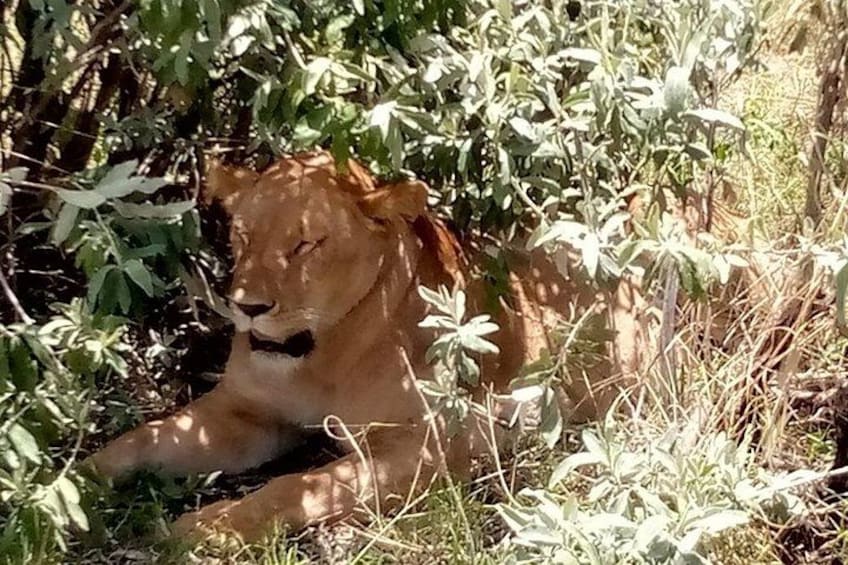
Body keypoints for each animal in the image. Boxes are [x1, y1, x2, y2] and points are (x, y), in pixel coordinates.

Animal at [89, 151, 648, 540]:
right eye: (242, 237)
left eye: (305, 244)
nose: (248, 308)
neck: (318, 355)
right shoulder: (244, 413)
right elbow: (142, 441)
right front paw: (72, 488)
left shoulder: (430, 444)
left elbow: (299, 486)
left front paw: (211, 526)